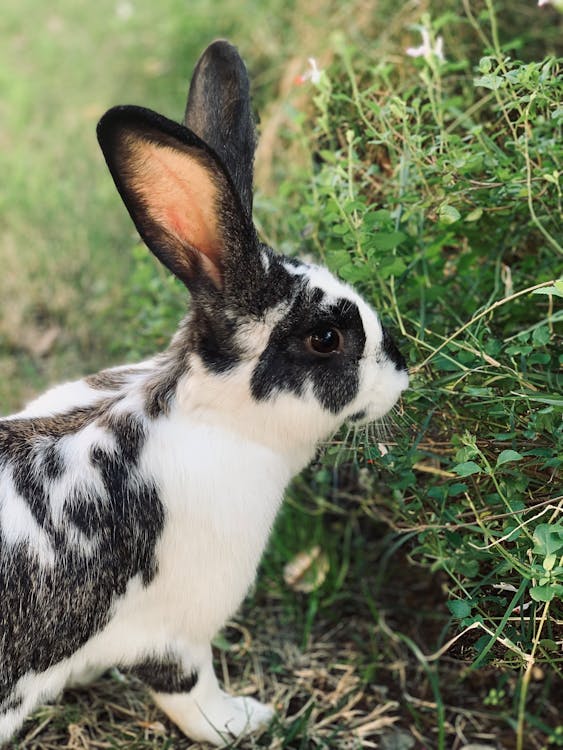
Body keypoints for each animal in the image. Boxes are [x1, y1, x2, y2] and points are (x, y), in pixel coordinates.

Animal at [0, 39, 408, 748]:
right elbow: (190, 693)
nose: (403, 368)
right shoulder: (174, 632)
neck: (212, 419)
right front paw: (245, 719)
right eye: (327, 337)